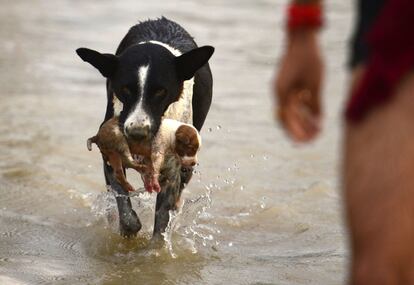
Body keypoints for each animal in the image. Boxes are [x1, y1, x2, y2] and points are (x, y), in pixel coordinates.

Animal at [75, 16, 215, 236]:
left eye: (160, 91)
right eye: (124, 89)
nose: (137, 133)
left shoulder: (172, 171)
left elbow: (162, 219)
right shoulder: (110, 157)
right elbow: (123, 203)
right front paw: (128, 229)